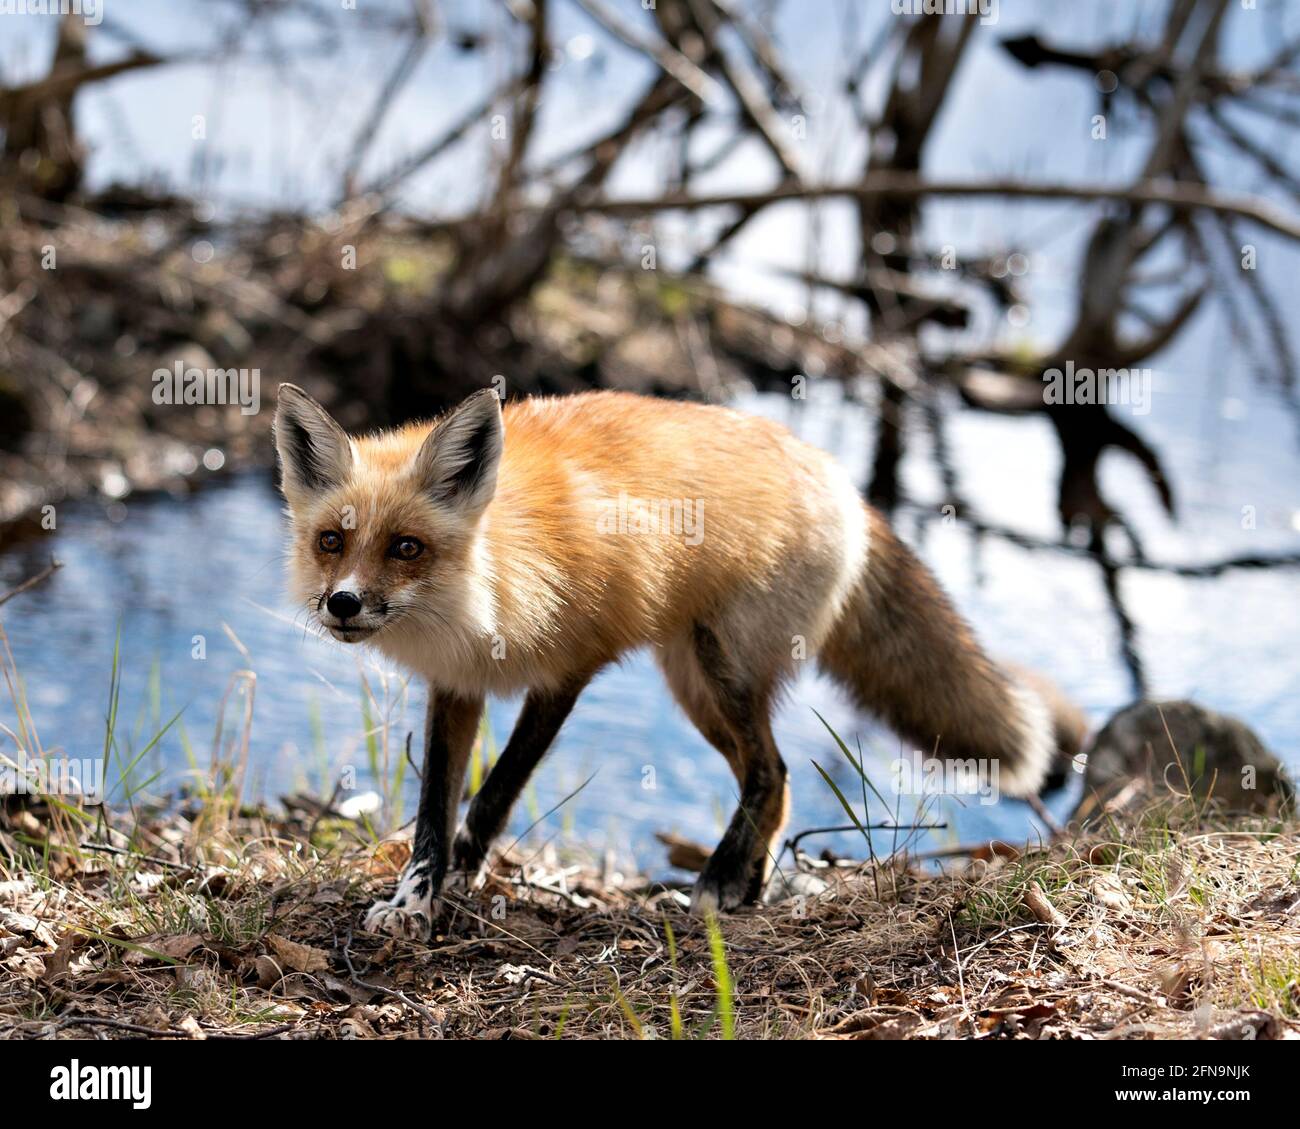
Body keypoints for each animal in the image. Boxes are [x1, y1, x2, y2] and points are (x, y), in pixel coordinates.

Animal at [276, 382, 1086, 941]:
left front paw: (461, 885)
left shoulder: (569, 672)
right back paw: (748, 886)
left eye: (406, 547)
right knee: (778, 784)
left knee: (771, 772)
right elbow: (431, 821)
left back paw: (720, 882)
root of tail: (838, 477)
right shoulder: (455, 686)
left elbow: (492, 797)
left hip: (720, 666)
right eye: (331, 542)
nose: (342, 603)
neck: (492, 582)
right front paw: (415, 901)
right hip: (696, 688)